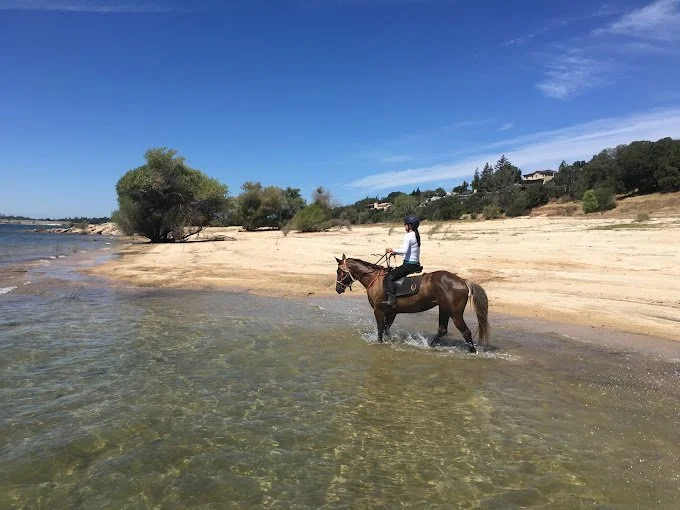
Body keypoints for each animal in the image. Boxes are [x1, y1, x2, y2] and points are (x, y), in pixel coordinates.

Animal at [335, 254, 489, 353]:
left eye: (339, 271)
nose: (338, 289)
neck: (375, 279)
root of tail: (463, 281)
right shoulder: (392, 312)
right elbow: (386, 329)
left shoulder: (379, 310)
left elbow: (380, 330)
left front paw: (380, 344)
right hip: (444, 309)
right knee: (442, 330)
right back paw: (429, 347)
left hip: (455, 313)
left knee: (466, 332)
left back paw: (472, 352)